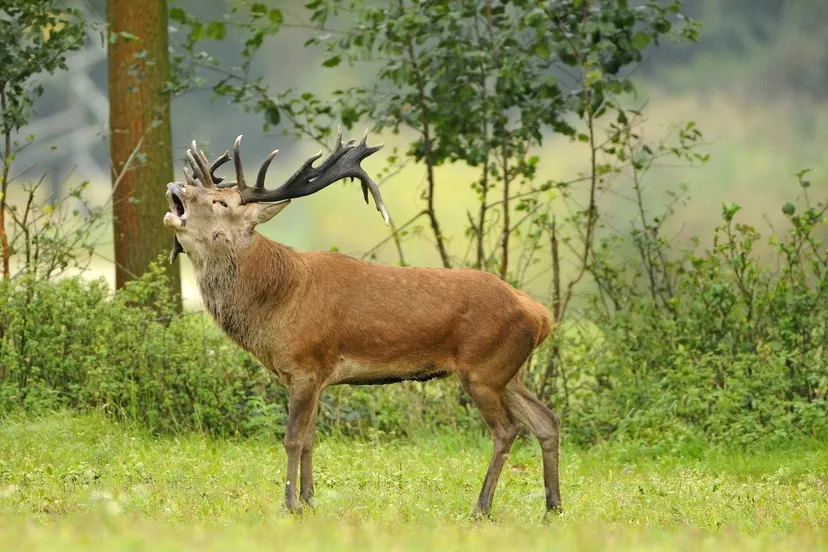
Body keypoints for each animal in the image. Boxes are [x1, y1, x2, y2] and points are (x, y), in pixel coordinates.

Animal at [162, 126, 564, 516]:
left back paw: (482, 507)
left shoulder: (306, 364)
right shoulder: (313, 376)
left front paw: (290, 504)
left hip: (483, 368)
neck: (277, 301)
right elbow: (310, 439)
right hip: (508, 372)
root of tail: (542, 315)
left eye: (221, 202)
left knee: (508, 429)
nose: (174, 187)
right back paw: (553, 506)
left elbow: (292, 438)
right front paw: (310, 500)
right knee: (546, 420)